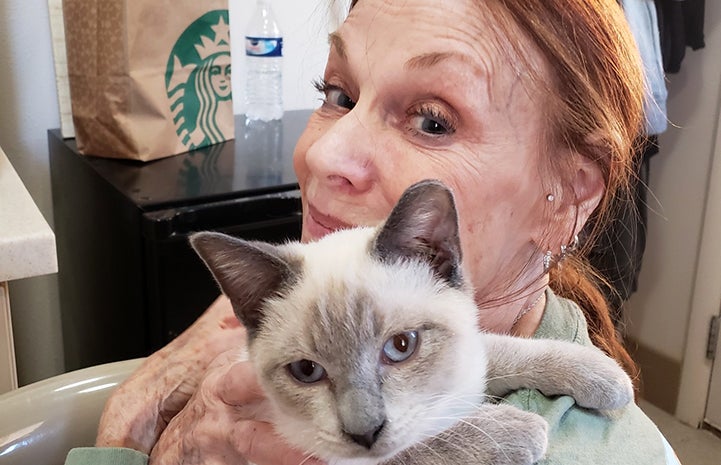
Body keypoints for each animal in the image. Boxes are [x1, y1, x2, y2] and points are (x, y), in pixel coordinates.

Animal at [190, 179, 632, 464]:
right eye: (306, 371)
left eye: (401, 347)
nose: (364, 433)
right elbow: (423, 445)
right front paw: (519, 430)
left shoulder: (468, 353)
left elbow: (505, 349)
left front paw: (605, 376)